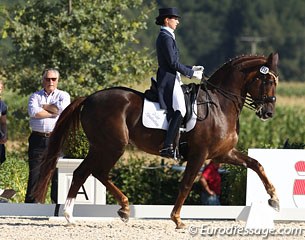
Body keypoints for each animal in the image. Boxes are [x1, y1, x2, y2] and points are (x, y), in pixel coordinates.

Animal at [32, 52, 278, 229]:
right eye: (266, 80)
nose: (268, 113)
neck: (219, 103)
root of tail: (90, 98)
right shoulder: (199, 154)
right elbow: (186, 184)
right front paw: (177, 219)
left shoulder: (222, 153)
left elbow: (256, 164)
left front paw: (274, 200)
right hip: (111, 146)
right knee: (90, 172)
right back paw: (77, 214)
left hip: (103, 147)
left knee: (90, 173)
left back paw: (110, 210)